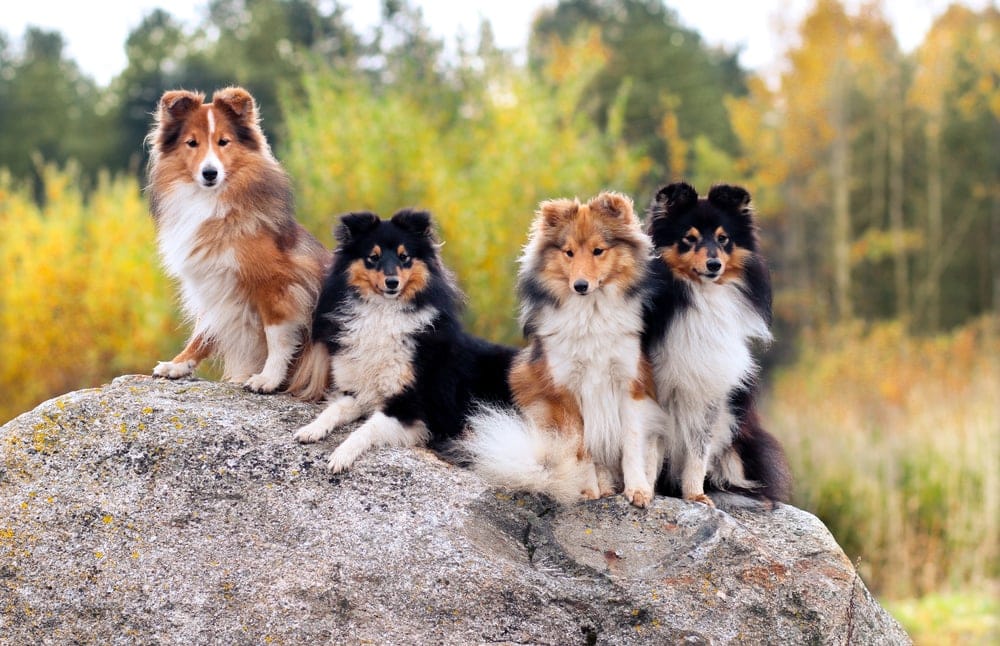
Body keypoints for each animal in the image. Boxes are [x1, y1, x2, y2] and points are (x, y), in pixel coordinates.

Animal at [146, 87, 330, 394]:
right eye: (192, 143)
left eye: (224, 142)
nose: (210, 173)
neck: (210, 201)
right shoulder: (213, 284)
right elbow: (204, 331)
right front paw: (178, 365)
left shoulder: (277, 283)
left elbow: (277, 336)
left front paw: (268, 379)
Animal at [292, 210, 516, 474]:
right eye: (373, 257)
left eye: (404, 257)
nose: (392, 282)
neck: (383, 313)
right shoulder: (358, 391)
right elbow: (333, 409)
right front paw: (311, 429)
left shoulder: (409, 407)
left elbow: (367, 429)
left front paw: (341, 455)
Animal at [458, 190, 664, 508]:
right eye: (568, 252)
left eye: (598, 250)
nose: (580, 285)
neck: (591, 313)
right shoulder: (564, 390)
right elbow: (580, 447)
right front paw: (587, 490)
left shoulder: (631, 383)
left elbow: (631, 441)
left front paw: (638, 490)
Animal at [644, 181, 792, 506]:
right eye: (689, 239)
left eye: (723, 239)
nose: (714, 265)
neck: (700, 297)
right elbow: (648, 448)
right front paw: (644, 490)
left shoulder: (710, 388)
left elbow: (698, 450)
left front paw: (695, 496)